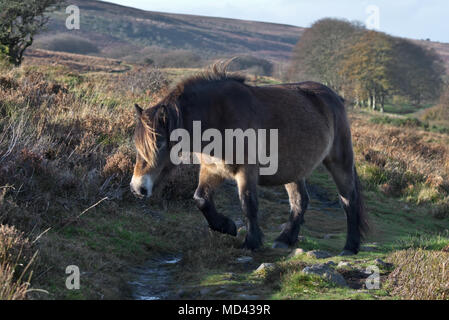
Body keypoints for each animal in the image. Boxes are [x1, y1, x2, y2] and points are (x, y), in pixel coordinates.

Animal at [130, 65, 368, 255]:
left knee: (349, 200)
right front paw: (227, 227)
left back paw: (350, 247)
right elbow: (201, 199)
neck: (219, 117)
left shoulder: (246, 171)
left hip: (339, 162)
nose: (137, 187)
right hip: (294, 169)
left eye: (160, 144)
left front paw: (251, 242)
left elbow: (248, 203)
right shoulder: (212, 170)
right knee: (300, 201)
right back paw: (284, 240)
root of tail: (335, 97)